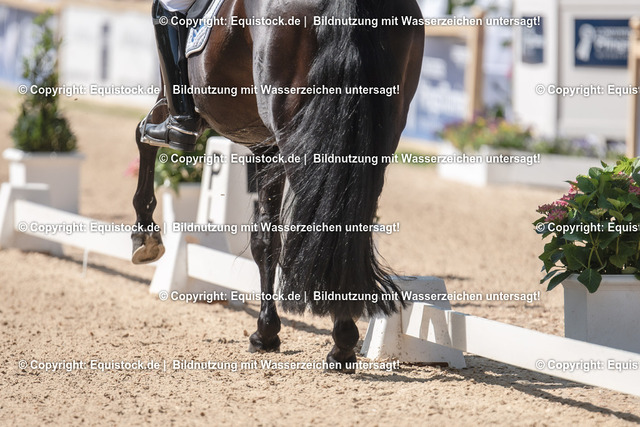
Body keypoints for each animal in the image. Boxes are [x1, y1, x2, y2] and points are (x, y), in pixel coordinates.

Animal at [131, 0, 424, 372]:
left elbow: (144, 135)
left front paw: (145, 236)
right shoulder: (266, 145)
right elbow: (265, 239)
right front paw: (267, 332)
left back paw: (342, 342)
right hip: (374, 140)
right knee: (347, 224)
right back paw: (343, 339)